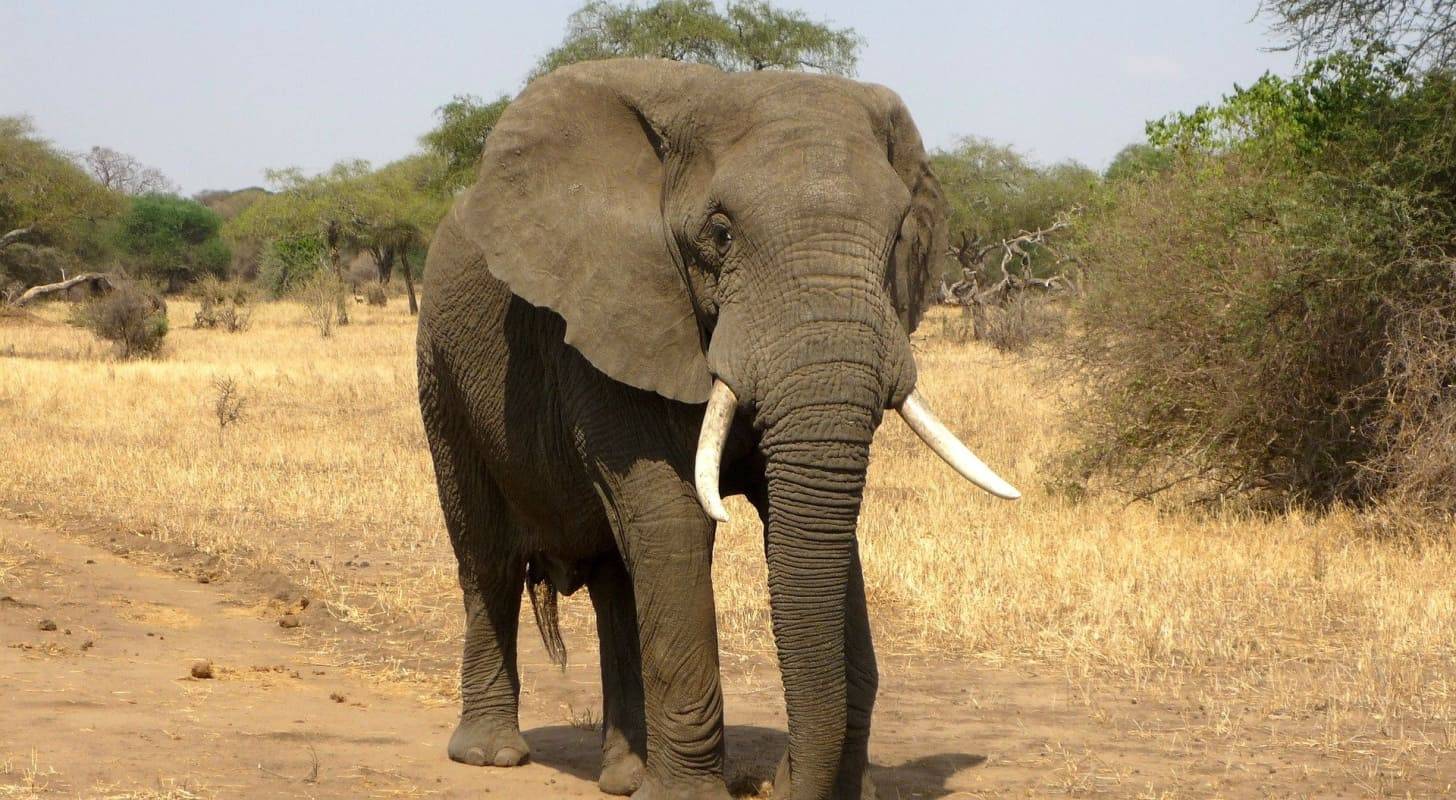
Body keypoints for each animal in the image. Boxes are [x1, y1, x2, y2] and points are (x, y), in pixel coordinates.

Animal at [416, 58, 1019, 800]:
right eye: (722, 234)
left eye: (898, 237)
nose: (782, 785)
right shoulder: (612, 316)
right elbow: (674, 518)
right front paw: (689, 797)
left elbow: (807, 523)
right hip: (442, 374)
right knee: (488, 558)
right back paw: (491, 756)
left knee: (617, 579)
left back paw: (626, 777)